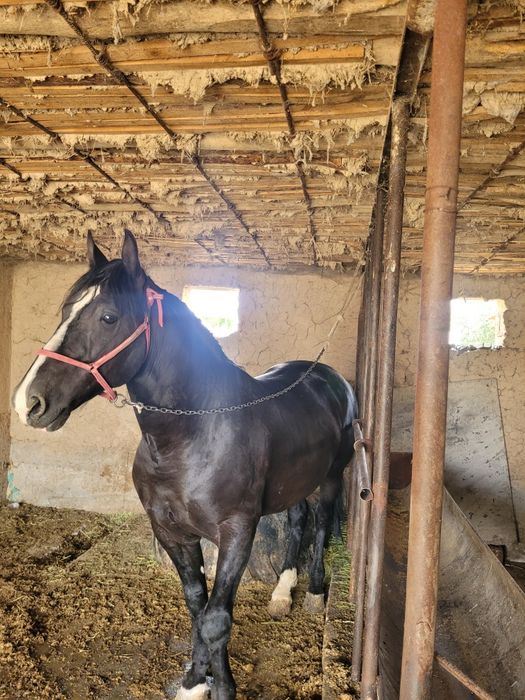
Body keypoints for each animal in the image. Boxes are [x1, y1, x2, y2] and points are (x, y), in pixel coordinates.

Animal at [13, 231, 358, 700]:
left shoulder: (236, 532)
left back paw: (315, 594)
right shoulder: (171, 532)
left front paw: (222, 687)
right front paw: (196, 682)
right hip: (294, 482)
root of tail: (329, 377)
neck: (189, 438)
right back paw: (283, 592)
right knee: (298, 520)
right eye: (65, 311)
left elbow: (216, 618)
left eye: (108, 317)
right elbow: (197, 605)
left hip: (330, 478)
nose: (28, 403)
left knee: (320, 524)